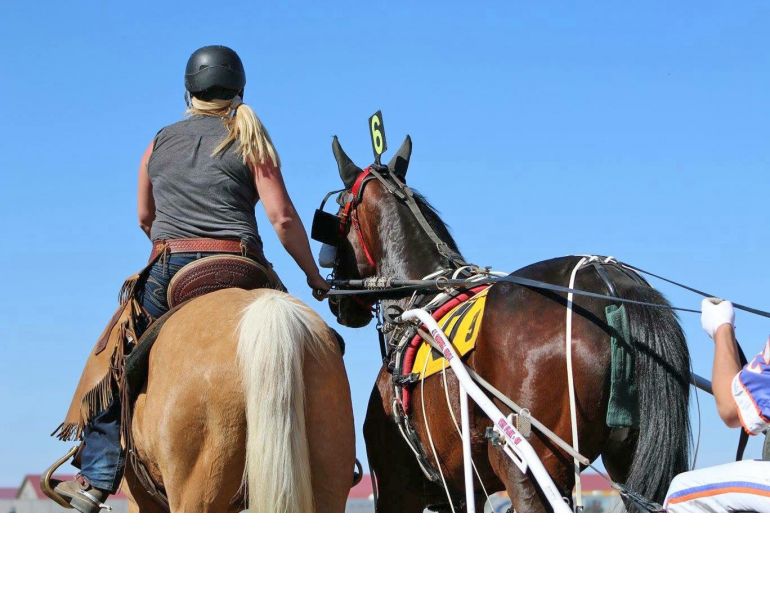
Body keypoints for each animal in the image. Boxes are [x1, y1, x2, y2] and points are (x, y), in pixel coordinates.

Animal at [322, 135, 691, 512]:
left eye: (336, 213)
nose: (337, 301)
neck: (423, 294)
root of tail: (607, 282)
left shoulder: (398, 490)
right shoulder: (457, 492)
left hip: (523, 463)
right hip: (628, 455)